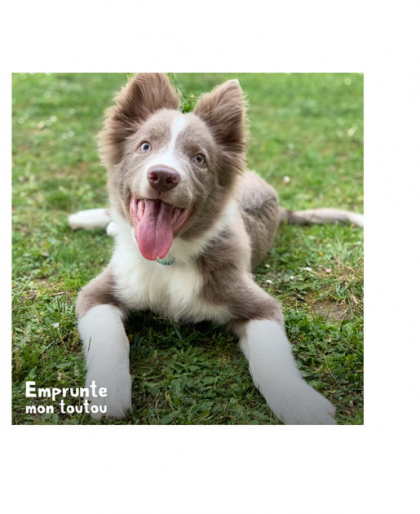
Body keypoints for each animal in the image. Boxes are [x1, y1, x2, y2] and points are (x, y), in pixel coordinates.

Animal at [68, 73, 360, 424]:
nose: (163, 176)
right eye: (145, 146)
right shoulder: (100, 291)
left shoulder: (257, 304)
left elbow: (272, 356)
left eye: (199, 158)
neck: (170, 259)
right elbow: (110, 338)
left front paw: (301, 403)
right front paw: (108, 393)